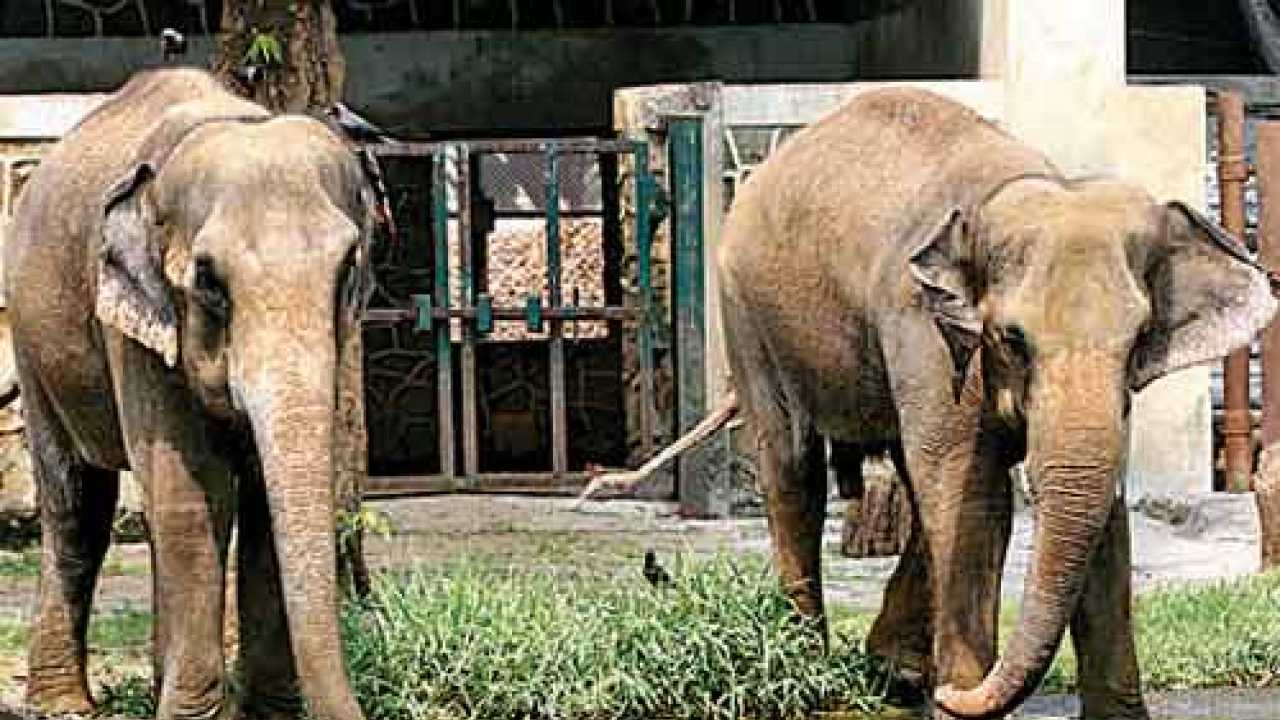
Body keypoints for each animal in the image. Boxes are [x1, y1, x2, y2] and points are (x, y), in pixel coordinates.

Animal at [6, 68, 378, 720]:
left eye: (347, 267)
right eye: (208, 280)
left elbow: (261, 497)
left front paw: (268, 714)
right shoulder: (136, 331)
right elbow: (191, 494)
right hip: (33, 339)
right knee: (77, 506)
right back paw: (64, 707)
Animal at [717, 87, 1276, 719]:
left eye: (1138, 340)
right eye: (1012, 338)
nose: (952, 692)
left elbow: (1099, 507)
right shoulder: (924, 330)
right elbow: (976, 497)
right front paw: (954, 693)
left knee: (914, 480)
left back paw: (897, 672)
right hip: (747, 316)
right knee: (794, 470)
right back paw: (809, 670)